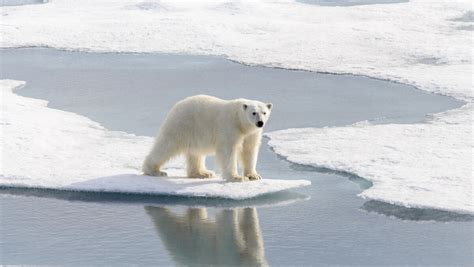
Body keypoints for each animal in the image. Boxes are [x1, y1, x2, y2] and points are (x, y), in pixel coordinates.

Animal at [143, 95, 272, 183]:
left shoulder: (251, 133)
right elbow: (228, 151)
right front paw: (236, 177)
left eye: (264, 112)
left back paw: (202, 173)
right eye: (253, 113)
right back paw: (155, 171)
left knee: (195, 153)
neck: (240, 122)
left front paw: (254, 175)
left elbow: (249, 150)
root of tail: (176, 106)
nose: (260, 123)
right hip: (182, 125)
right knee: (166, 145)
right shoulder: (229, 126)